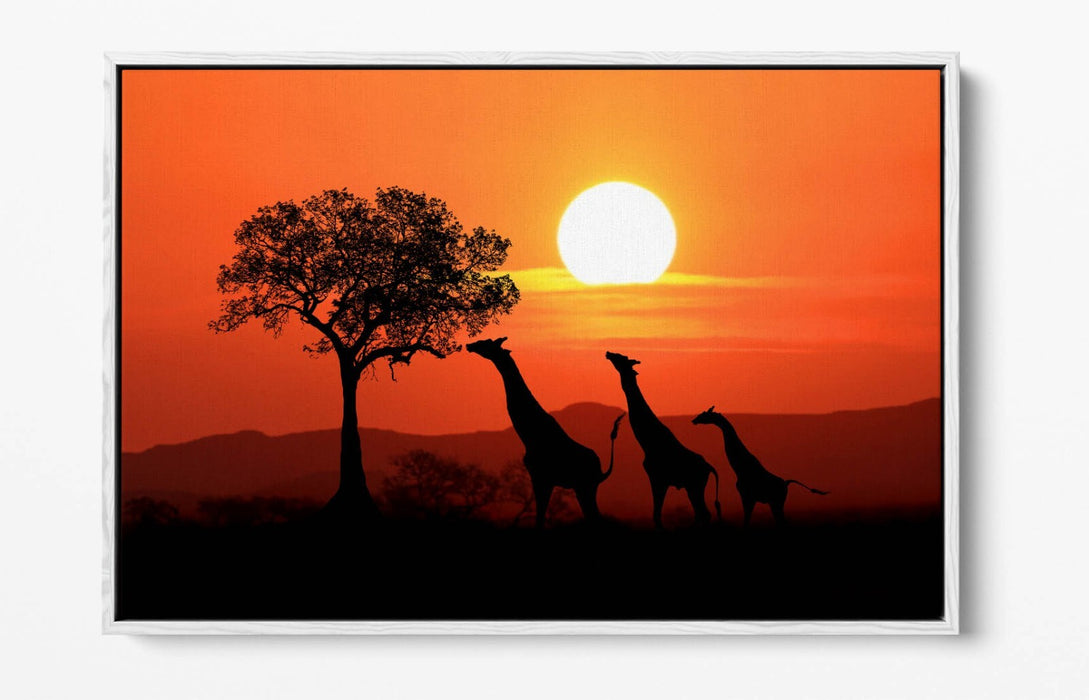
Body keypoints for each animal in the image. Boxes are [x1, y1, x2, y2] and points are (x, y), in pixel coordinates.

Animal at [467, 338, 624, 527]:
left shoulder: (542, 477)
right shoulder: (540, 478)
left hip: (585, 487)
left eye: (487, 343)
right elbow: (540, 518)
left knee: (595, 518)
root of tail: (601, 471)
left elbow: (540, 518)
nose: (470, 345)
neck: (529, 436)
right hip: (584, 487)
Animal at [604, 351, 721, 529]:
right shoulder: (659, 480)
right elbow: (657, 515)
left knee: (704, 514)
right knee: (701, 514)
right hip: (692, 487)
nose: (608, 353)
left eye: (621, 358)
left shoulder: (658, 479)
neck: (648, 443)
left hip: (695, 486)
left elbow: (657, 515)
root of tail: (708, 467)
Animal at [692, 406, 828, 526]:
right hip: (776, 503)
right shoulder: (749, 498)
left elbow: (746, 522)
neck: (739, 468)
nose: (694, 420)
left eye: (704, 414)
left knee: (782, 522)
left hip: (777, 502)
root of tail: (786, 483)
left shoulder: (747, 497)